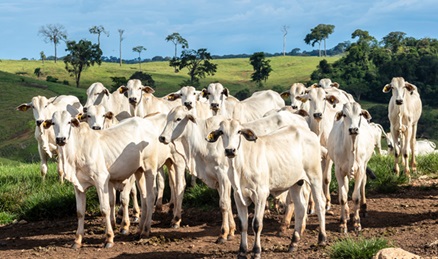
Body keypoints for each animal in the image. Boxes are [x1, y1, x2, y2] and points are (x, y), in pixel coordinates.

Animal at [207, 119, 326, 258]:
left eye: (239, 131)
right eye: (221, 132)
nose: (230, 150)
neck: (240, 165)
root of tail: (310, 134)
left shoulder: (261, 194)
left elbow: (257, 224)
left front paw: (256, 251)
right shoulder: (238, 195)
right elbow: (243, 224)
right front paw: (242, 251)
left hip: (314, 176)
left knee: (320, 203)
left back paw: (322, 239)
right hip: (296, 183)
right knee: (300, 208)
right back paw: (293, 243)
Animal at [326, 102, 374, 235]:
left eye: (359, 114)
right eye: (344, 115)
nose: (353, 129)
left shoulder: (361, 169)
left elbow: (356, 197)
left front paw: (357, 223)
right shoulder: (338, 170)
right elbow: (343, 197)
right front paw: (343, 223)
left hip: (365, 165)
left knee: (363, 184)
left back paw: (363, 208)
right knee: (346, 188)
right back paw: (347, 214)